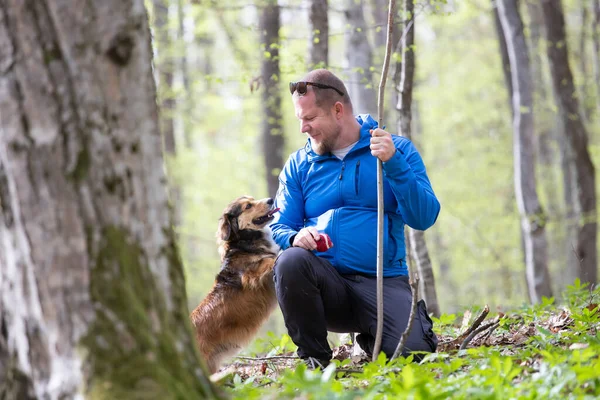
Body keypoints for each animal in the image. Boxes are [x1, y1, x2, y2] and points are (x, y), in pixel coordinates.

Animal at [189, 195, 280, 374]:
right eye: (248, 206)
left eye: (252, 199)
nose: (270, 199)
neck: (244, 243)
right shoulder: (255, 273)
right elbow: (272, 258)